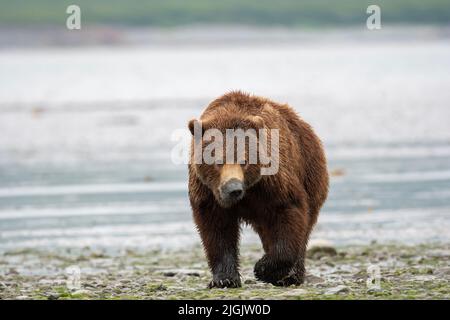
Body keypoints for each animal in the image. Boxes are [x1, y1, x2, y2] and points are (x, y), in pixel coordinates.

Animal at [188, 90, 328, 288]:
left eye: (244, 161)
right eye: (218, 161)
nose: (233, 189)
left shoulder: (273, 182)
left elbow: (289, 212)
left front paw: (263, 268)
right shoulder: (207, 193)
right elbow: (216, 230)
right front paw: (225, 278)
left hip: (311, 174)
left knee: (304, 227)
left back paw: (292, 275)